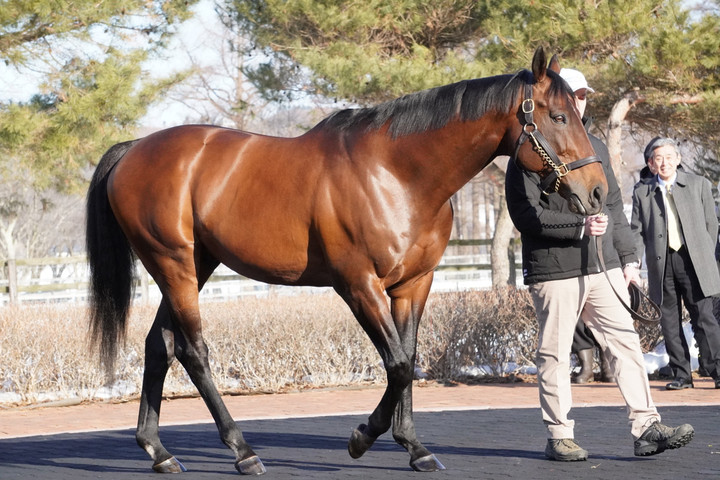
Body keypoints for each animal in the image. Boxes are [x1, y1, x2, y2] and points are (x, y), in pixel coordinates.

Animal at [86, 46, 607, 475]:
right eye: (558, 116)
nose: (598, 191)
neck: (396, 174)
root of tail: (134, 150)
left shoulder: (414, 284)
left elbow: (409, 360)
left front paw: (414, 447)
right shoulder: (358, 285)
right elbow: (398, 364)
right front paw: (361, 438)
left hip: (195, 266)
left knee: (160, 345)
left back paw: (158, 451)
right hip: (173, 265)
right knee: (193, 351)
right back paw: (242, 451)